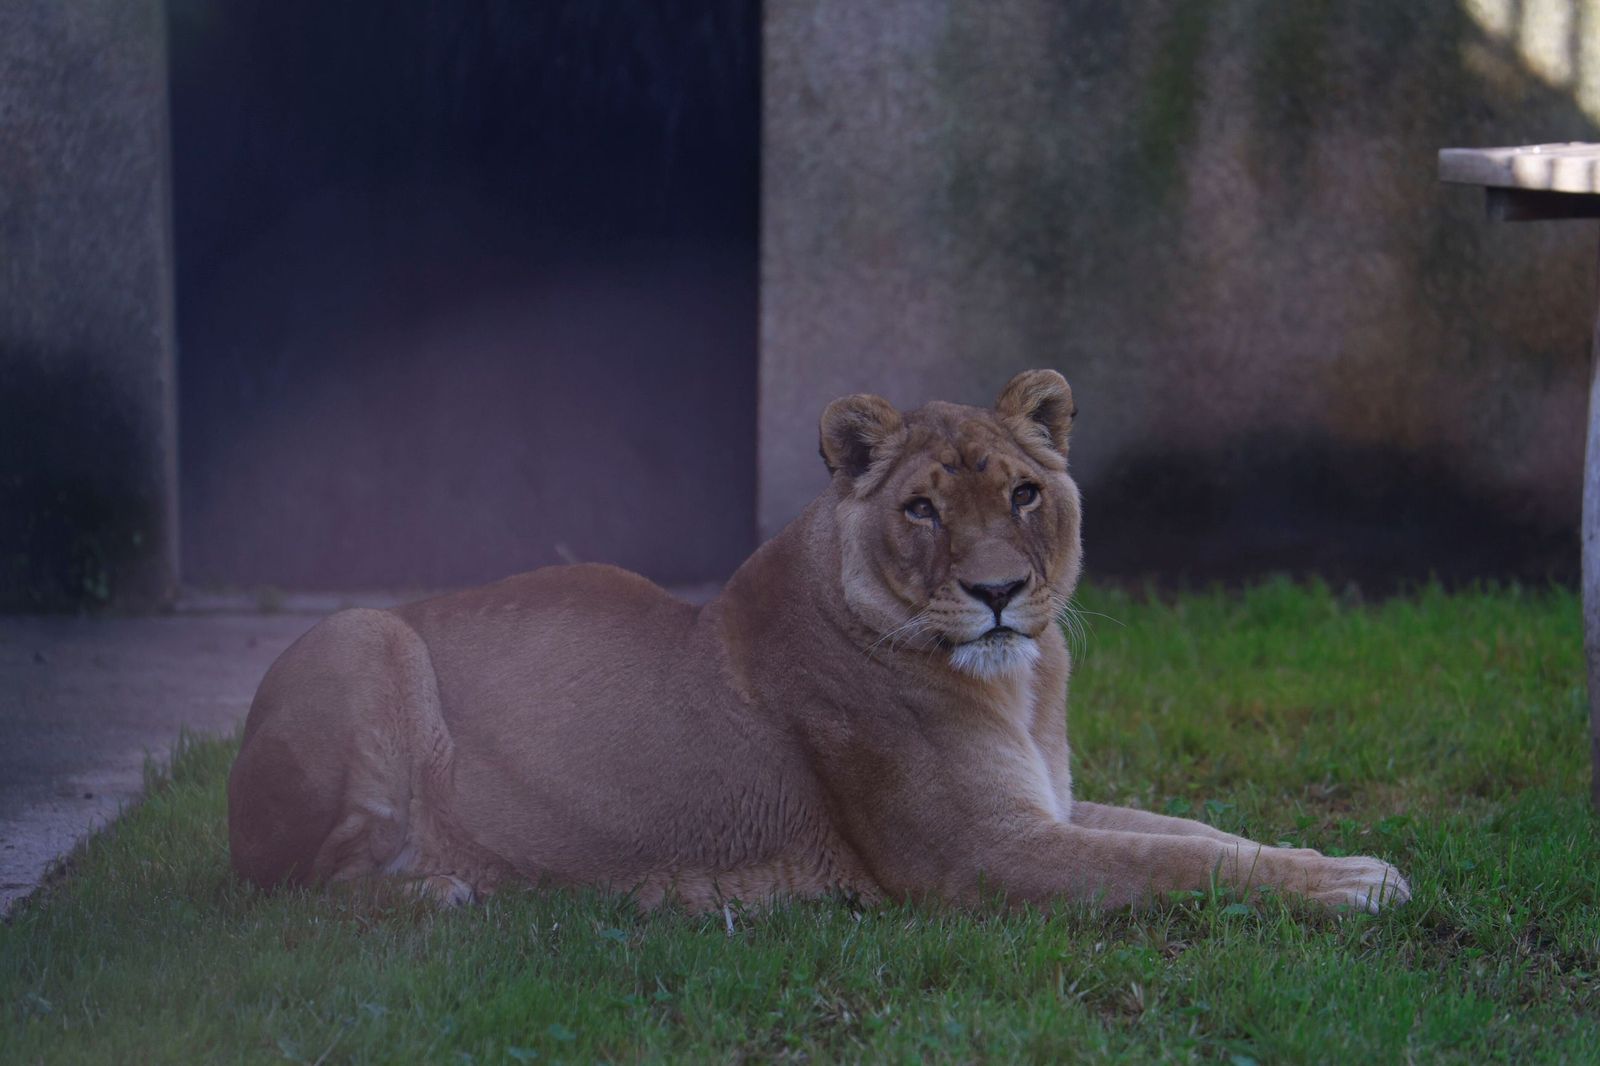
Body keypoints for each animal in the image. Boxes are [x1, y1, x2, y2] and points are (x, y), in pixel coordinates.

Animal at [228, 370, 1409, 913]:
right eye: (923, 510)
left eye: (1024, 493)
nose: (996, 592)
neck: (1021, 683)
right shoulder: (980, 855)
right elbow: (1169, 863)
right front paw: (1346, 888)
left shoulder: (1050, 804)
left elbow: (1199, 832)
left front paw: (1345, 861)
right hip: (365, 634)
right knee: (293, 889)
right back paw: (442, 891)